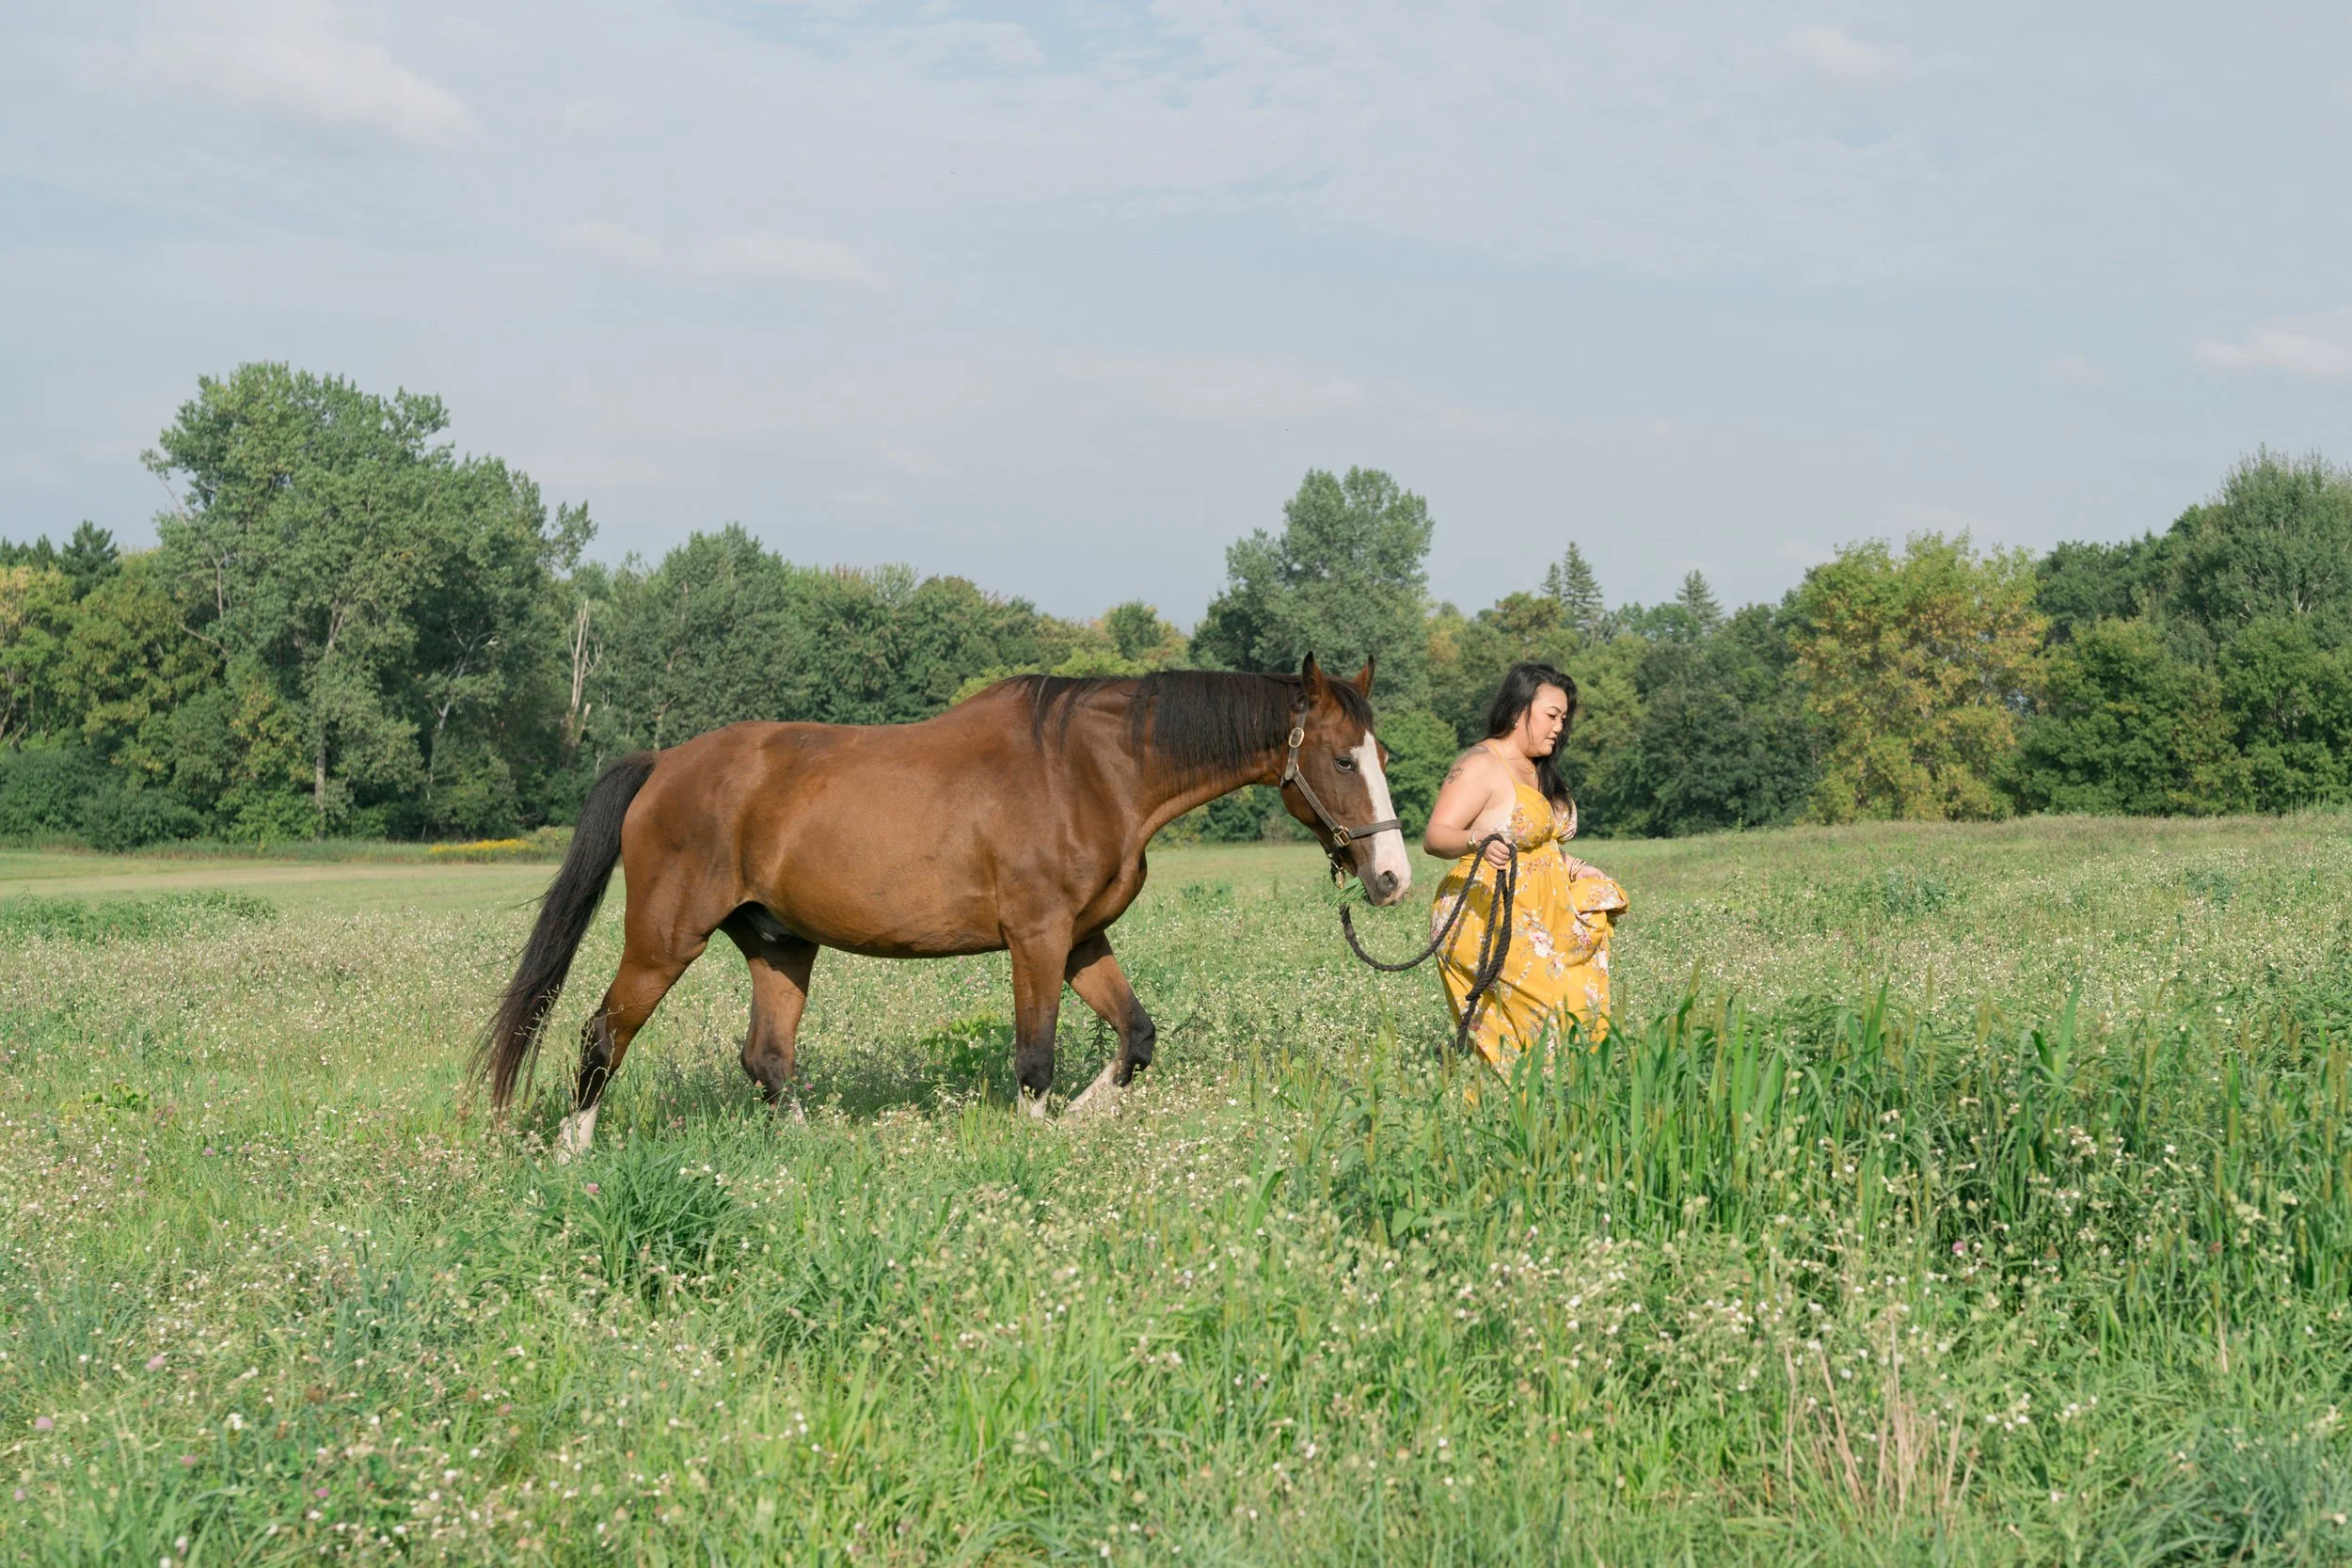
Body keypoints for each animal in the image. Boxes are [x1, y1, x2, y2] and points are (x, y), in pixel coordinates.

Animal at [480, 655, 1412, 1159]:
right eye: (1340, 758)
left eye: (1383, 754)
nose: (1392, 876)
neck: (1092, 771)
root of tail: (665, 763)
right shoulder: (1036, 939)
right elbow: (1035, 1059)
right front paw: (1040, 1141)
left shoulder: (1082, 939)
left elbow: (1136, 1036)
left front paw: (1083, 1121)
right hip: (664, 939)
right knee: (602, 1037)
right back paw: (574, 1156)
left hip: (780, 945)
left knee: (768, 1058)